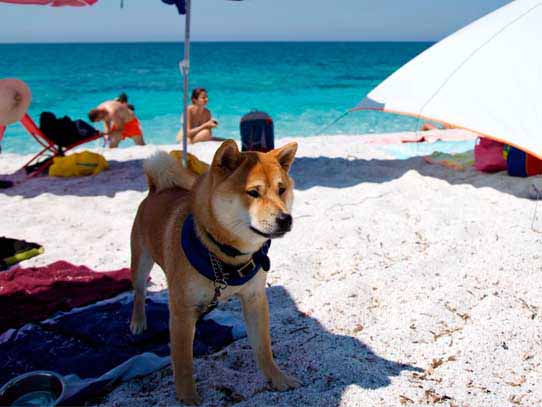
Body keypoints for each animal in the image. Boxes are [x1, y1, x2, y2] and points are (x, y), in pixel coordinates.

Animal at [131, 140, 302, 404]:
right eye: (253, 192)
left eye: (281, 189)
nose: (285, 218)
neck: (226, 255)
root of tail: (154, 191)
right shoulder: (181, 309)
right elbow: (183, 361)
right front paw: (188, 397)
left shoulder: (255, 299)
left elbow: (263, 348)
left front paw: (277, 378)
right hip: (141, 263)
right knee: (139, 292)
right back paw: (138, 321)